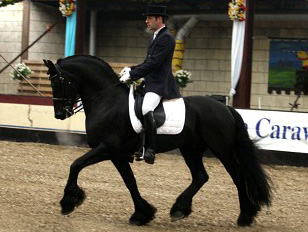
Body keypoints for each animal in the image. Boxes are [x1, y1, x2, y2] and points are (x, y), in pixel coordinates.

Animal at [42, 54, 270, 227]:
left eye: (58, 82)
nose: (59, 114)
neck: (106, 101)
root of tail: (226, 108)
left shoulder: (107, 148)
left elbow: (76, 165)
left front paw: (67, 203)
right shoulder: (117, 154)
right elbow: (130, 181)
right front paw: (142, 214)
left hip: (222, 149)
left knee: (237, 176)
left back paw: (245, 216)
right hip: (191, 149)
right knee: (200, 176)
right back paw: (179, 209)